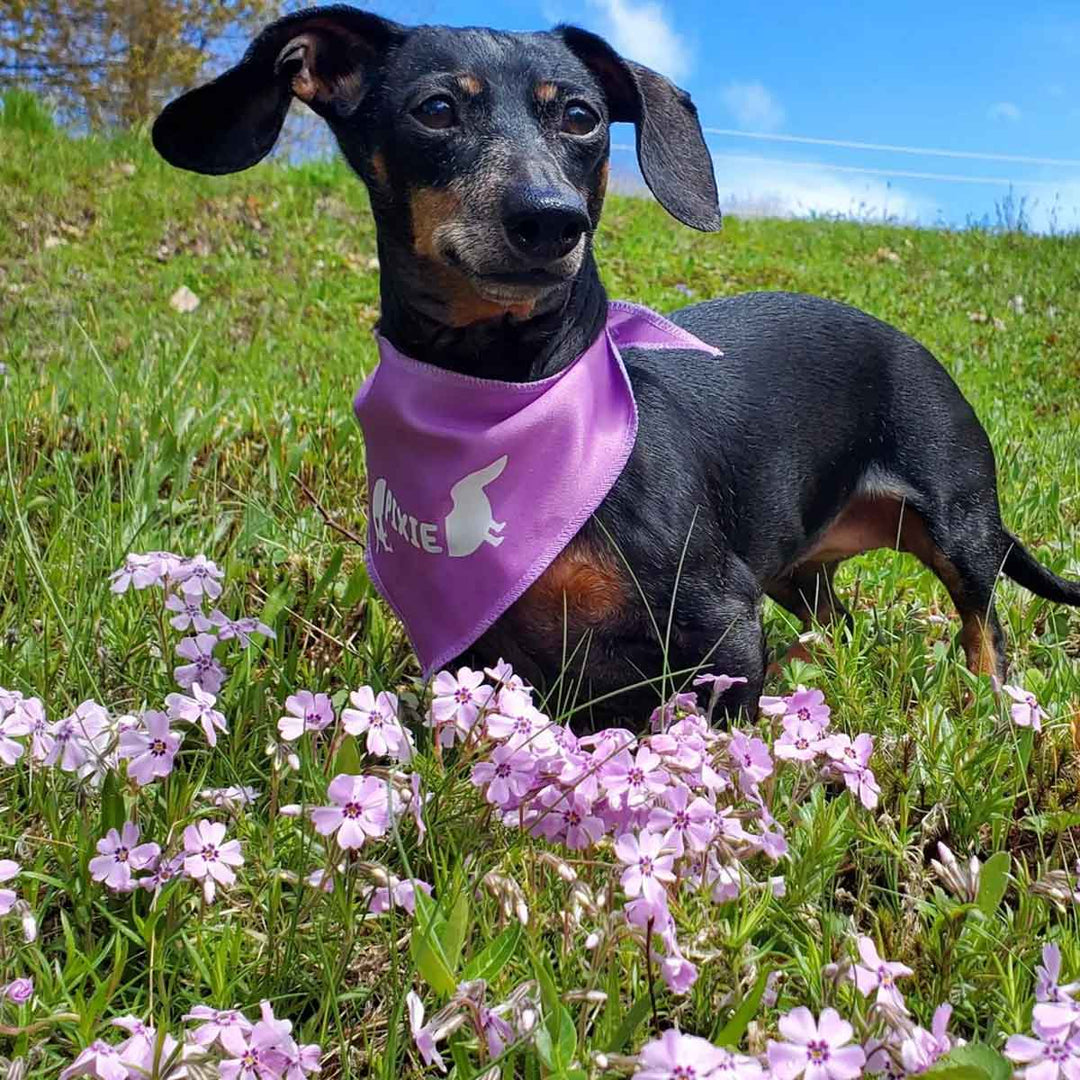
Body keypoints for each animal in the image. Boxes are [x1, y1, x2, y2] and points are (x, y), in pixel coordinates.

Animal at [152, 4, 1080, 725]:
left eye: (581, 117)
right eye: (436, 108)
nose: (550, 220)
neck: (512, 389)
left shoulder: (724, 627)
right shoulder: (479, 656)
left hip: (959, 528)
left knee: (985, 629)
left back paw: (994, 708)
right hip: (801, 575)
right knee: (840, 621)